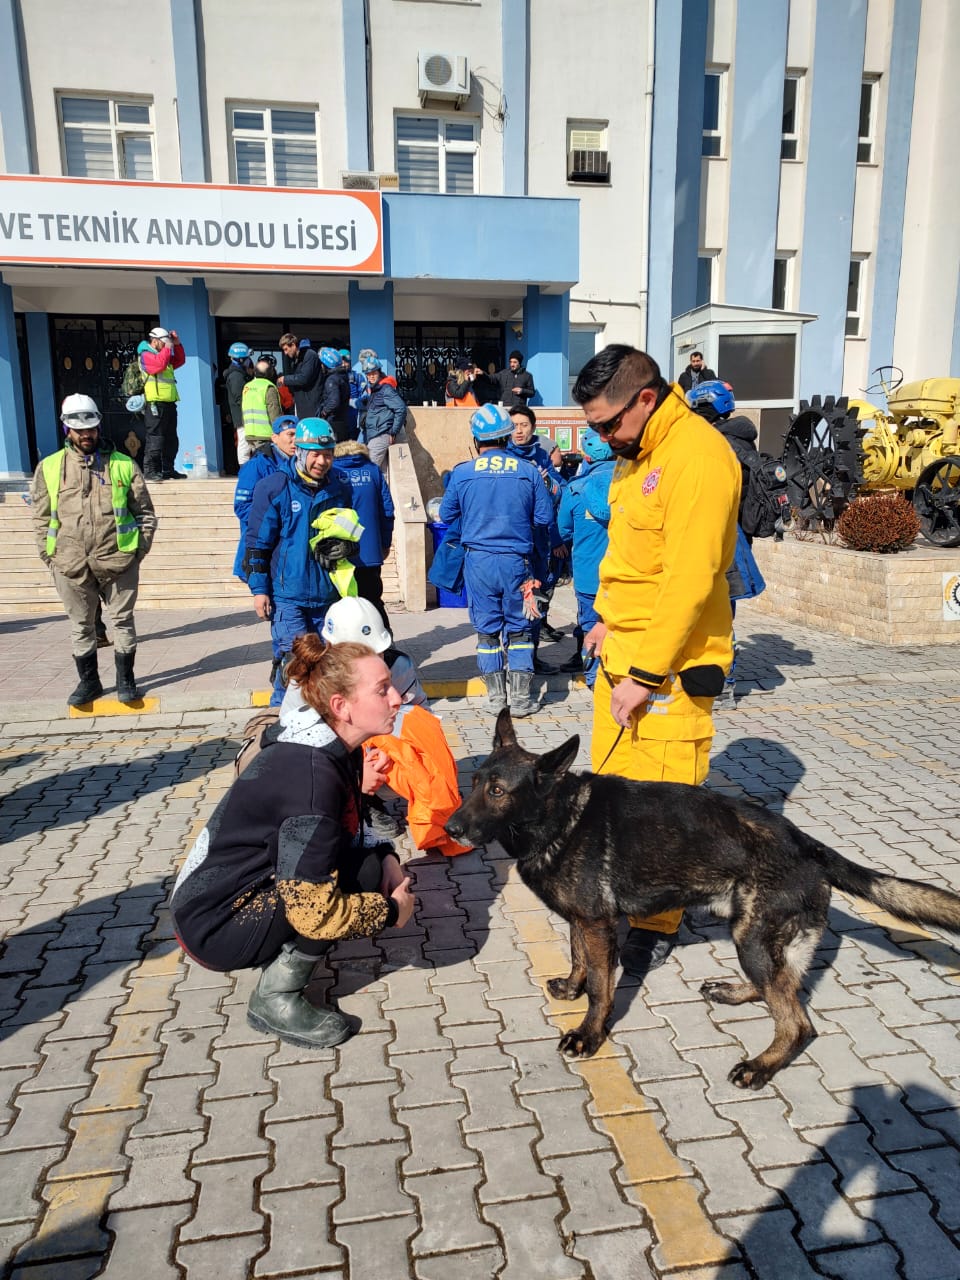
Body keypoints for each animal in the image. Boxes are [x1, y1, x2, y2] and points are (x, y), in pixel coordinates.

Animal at [448, 711, 960, 1090]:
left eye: (498, 791)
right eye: (473, 783)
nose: (450, 828)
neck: (556, 816)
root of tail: (805, 842)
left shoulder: (596, 924)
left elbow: (601, 988)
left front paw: (589, 1034)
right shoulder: (584, 921)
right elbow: (579, 963)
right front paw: (571, 988)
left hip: (753, 940)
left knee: (797, 1022)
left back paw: (760, 1066)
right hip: (755, 938)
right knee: (783, 989)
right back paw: (733, 993)